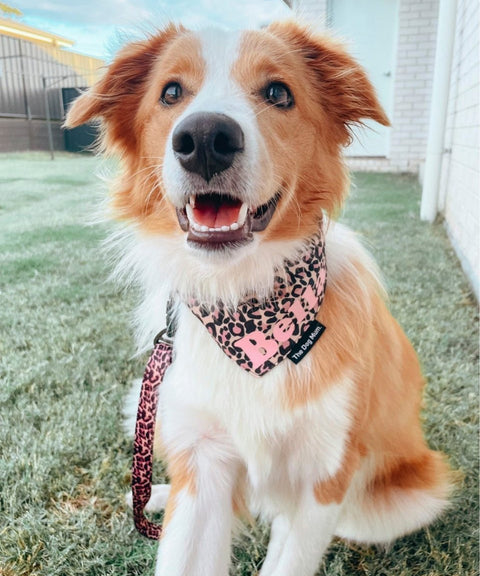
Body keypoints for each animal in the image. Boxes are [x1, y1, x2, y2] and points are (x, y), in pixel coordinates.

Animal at [65, 19, 452, 576]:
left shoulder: (324, 473)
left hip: (403, 497)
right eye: (171, 92)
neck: (245, 302)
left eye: (278, 93)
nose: (205, 138)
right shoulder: (204, 459)